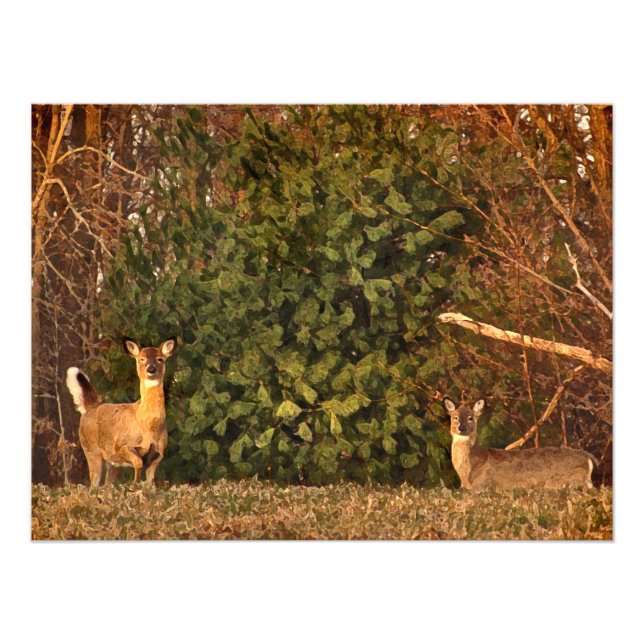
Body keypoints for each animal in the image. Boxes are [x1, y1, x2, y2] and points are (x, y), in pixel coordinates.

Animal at [65, 336, 177, 486]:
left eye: (160, 359)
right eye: (141, 359)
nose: (151, 369)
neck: (148, 427)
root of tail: (91, 407)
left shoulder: (158, 453)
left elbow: (150, 481)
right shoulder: (122, 445)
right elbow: (138, 462)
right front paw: (135, 484)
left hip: (109, 459)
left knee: (107, 482)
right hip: (90, 448)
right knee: (94, 482)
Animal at [443, 397, 596, 490]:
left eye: (470, 418)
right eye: (455, 417)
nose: (461, 428)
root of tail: (588, 458)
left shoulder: (483, 485)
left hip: (560, 481)